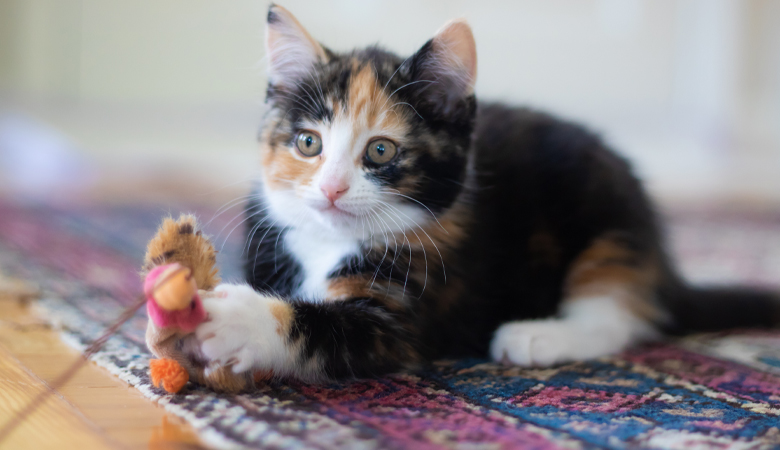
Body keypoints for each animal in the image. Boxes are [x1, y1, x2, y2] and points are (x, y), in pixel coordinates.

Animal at [192, 5, 776, 382]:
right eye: (308, 143)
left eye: (380, 151)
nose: (333, 188)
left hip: (606, 215)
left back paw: (538, 337)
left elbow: (321, 330)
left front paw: (232, 320)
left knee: (619, 317)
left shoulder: (408, 311)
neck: (328, 242)